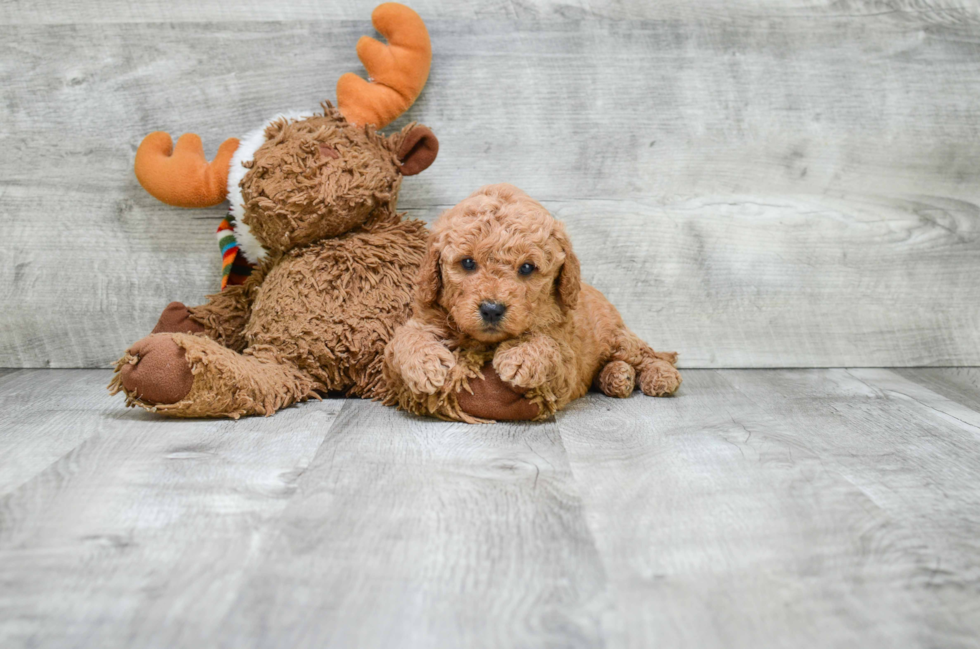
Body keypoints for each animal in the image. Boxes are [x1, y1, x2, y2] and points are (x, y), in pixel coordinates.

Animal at [382, 182, 680, 420]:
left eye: (527, 268)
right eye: (467, 263)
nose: (492, 310)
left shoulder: (566, 357)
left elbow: (549, 344)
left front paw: (521, 357)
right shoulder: (425, 319)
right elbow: (403, 339)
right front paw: (425, 365)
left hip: (616, 336)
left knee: (648, 354)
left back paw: (660, 376)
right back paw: (618, 377)